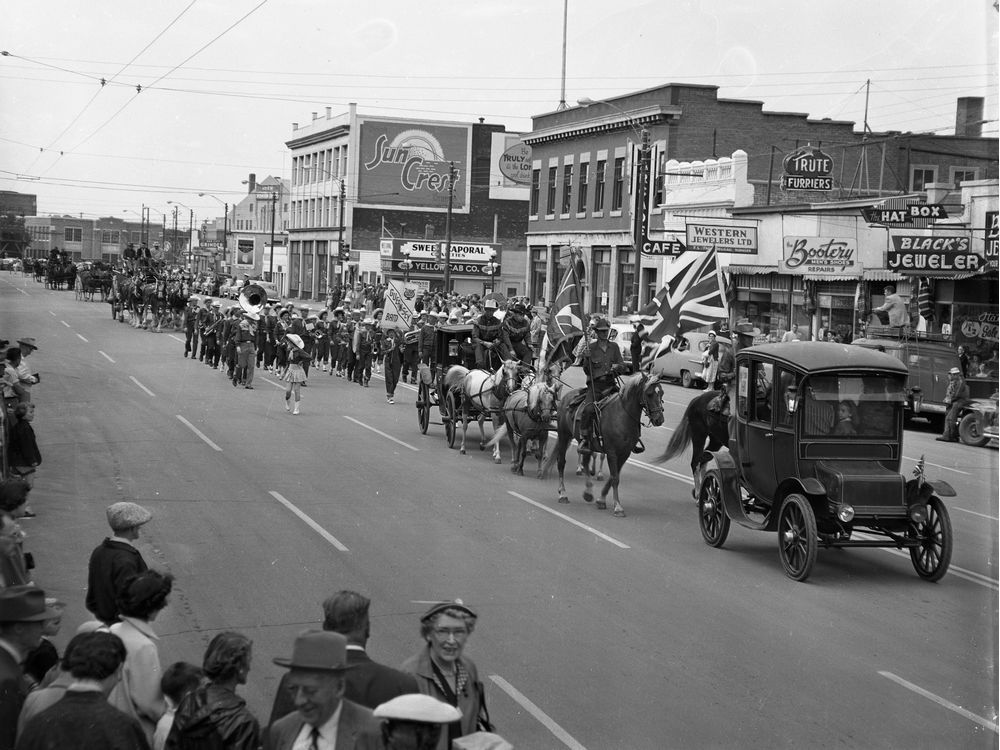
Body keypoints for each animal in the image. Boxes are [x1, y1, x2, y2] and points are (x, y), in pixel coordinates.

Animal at [544, 374, 660, 520]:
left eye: (661, 392)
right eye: (649, 394)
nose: (659, 419)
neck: (622, 416)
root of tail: (566, 397)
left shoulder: (624, 453)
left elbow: (613, 476)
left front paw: (601, 500)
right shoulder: (611, 452)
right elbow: (615, 478)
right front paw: (618, 507)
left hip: (586, 444)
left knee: (585, 462)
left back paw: (588, 492)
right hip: (564, 436)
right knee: (561, 463)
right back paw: (563, 494)